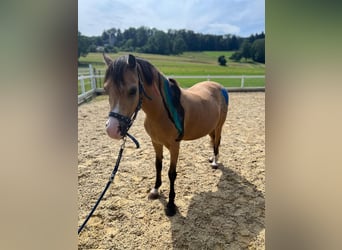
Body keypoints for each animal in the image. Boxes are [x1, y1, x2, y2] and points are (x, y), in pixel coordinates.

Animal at [103, 54, 228, 217]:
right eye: (106, 89)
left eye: (133, 90)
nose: (112, 129)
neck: (162, 112)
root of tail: (219, 86)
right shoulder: (156, 142)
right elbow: (158, 165)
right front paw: (155, 190)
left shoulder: (175, 146)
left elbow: (171, 173)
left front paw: (170, 205)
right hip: (211, 127)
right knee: (213, 141)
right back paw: (211, 159)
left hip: (219, 126)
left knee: (217, 142)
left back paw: (215, 162)